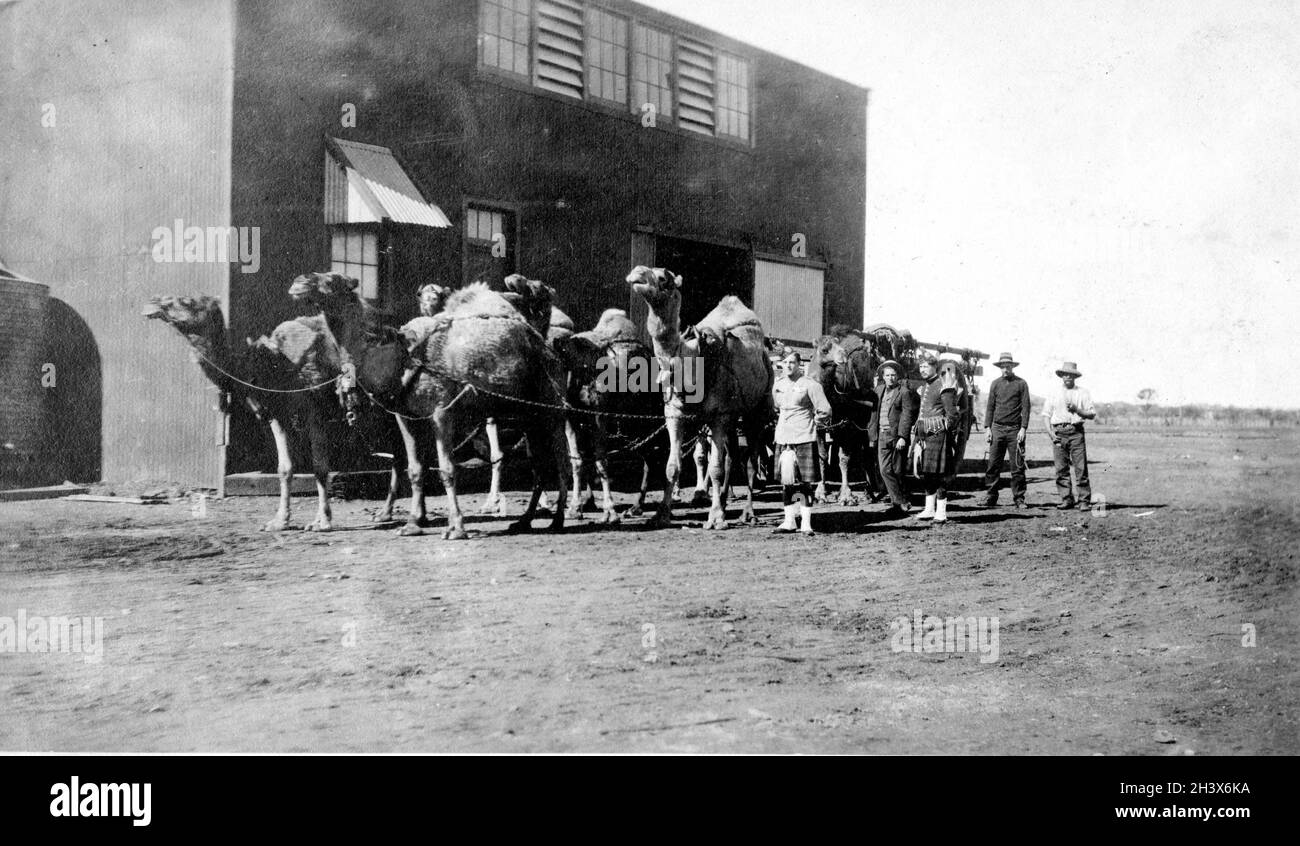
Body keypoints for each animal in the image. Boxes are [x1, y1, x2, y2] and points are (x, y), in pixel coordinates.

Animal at [626, 265, 769, 530]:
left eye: (664, 279)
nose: (637, 272)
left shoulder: (719, 417)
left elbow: (715, 468)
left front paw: (716, 519)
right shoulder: (675, 414)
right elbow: (672, 466)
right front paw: (661, 515)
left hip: (757, 411)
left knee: (752, 461)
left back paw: (748, 512)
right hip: (732, 418)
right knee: (733, 455)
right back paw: (724, 501)